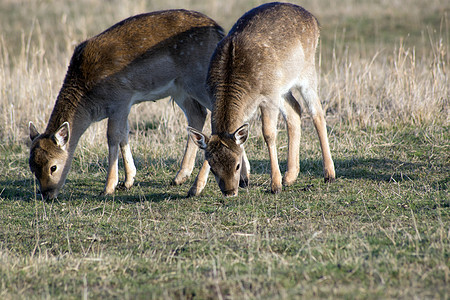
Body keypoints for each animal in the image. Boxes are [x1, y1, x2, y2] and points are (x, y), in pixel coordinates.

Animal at [28, 9, 225, 198]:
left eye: (53, 167)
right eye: (32, 167)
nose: (47, 194)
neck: (90, 102)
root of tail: (219, 31)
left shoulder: (120, 98)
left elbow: (113, 136)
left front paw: (108, 187)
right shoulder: (125, 105)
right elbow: (124, 133)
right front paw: (128, 180)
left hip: (198, 79)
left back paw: (197, 187)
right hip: (180, 89)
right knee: (198, 114)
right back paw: (180, 177)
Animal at [188, 3, 336, 198]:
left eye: (236, 165)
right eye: (213, 168)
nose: (229, 192)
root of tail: (314, 19)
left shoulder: (268, 96)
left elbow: (269, 134)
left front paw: (275, 185)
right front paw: (195, 188)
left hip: (307, 71)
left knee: (317, 113)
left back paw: (329, 174)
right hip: (282, 87)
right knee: (295, 110)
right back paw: (290, 176)